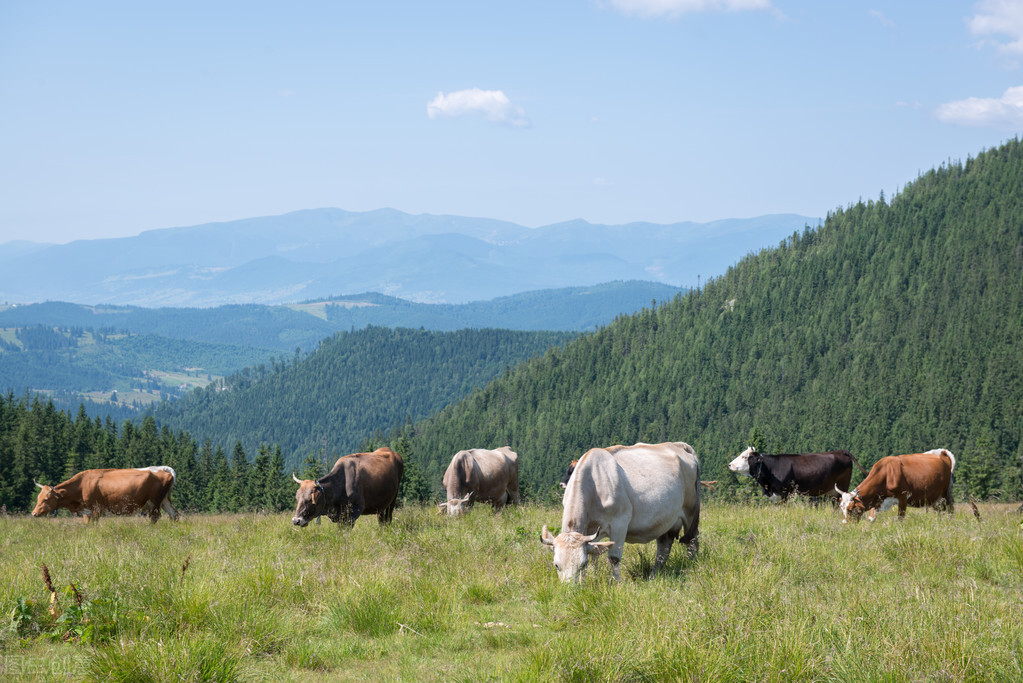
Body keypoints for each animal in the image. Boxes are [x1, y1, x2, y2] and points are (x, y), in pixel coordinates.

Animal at [30, 466, 179, 527]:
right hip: (164, 500)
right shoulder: (87, 510)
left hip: (155, 502)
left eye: (46, 499)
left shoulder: (97, 508)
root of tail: (163, 470)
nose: (34, 513)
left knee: (156, 517)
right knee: (174, 514)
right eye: (38, 498)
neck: (82, 485)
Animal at [540, 443, 699, 580]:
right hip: (666, 519)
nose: (569, 589)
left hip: (691, 511)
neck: (594, 484)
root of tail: (678, 444)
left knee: (692, 540)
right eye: (556, 565)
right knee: (664, 546)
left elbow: (613, 558)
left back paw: (692, 567)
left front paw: (616, 583)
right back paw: (653, 576)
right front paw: (587, 581)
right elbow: (593, 555)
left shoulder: (620, 523)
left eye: (582, 564)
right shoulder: (591, 530)